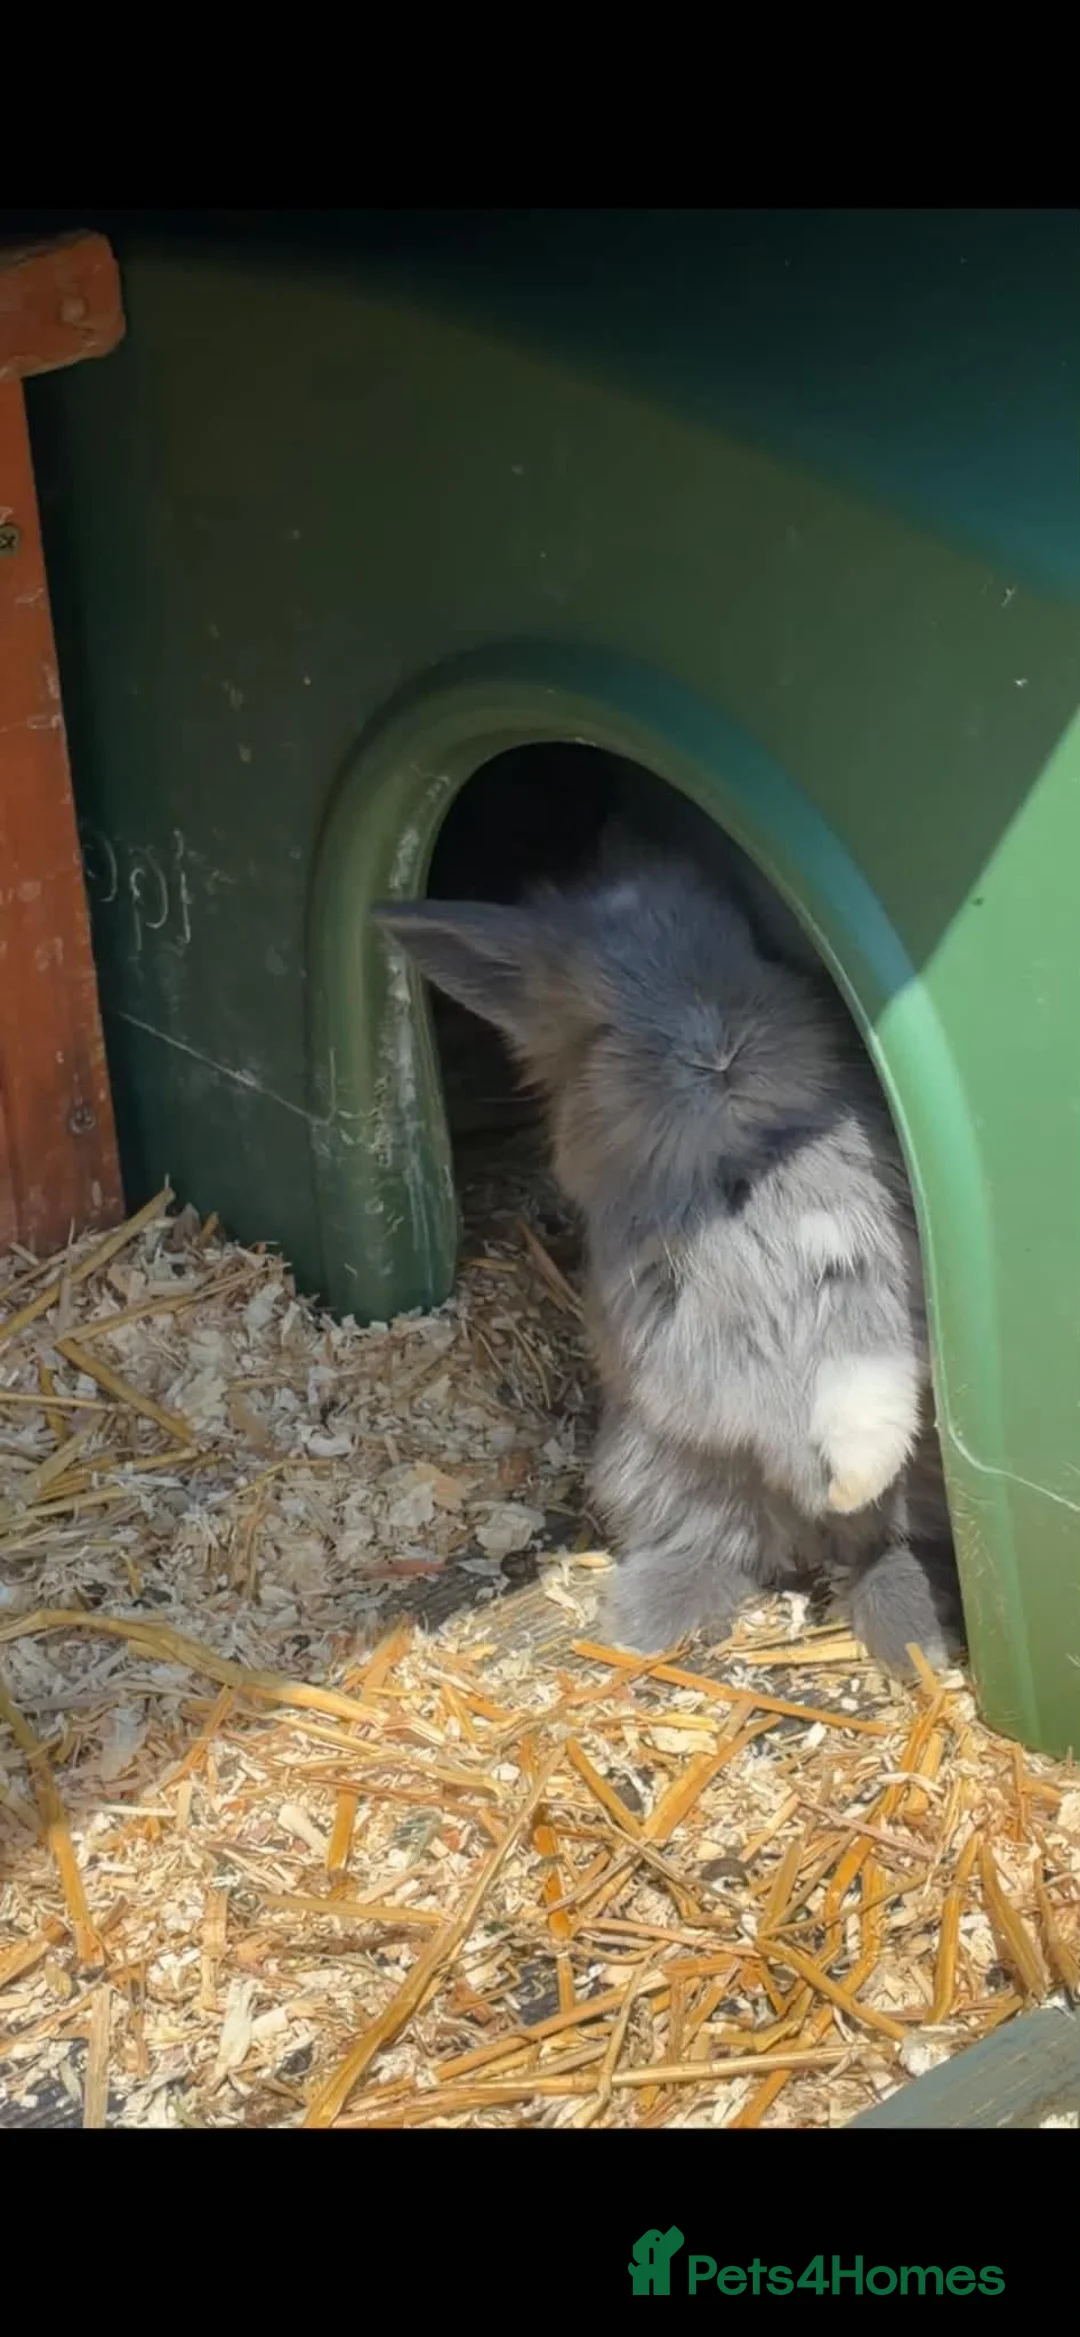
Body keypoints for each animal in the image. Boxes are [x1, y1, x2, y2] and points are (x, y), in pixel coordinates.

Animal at [374, 854, 961, 1676]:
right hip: (656, 1472)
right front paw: (813, 1478)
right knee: (718, 1547)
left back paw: (912, 1636)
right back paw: (644, 1623)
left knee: (895, 1544)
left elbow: (869, 1387)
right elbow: (747, 1399)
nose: (719, 1053)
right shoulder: (676, 1322)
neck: (742, 1170)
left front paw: (846, 1485)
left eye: (761, 949)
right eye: (602, 1022)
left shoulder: (866, 1276)